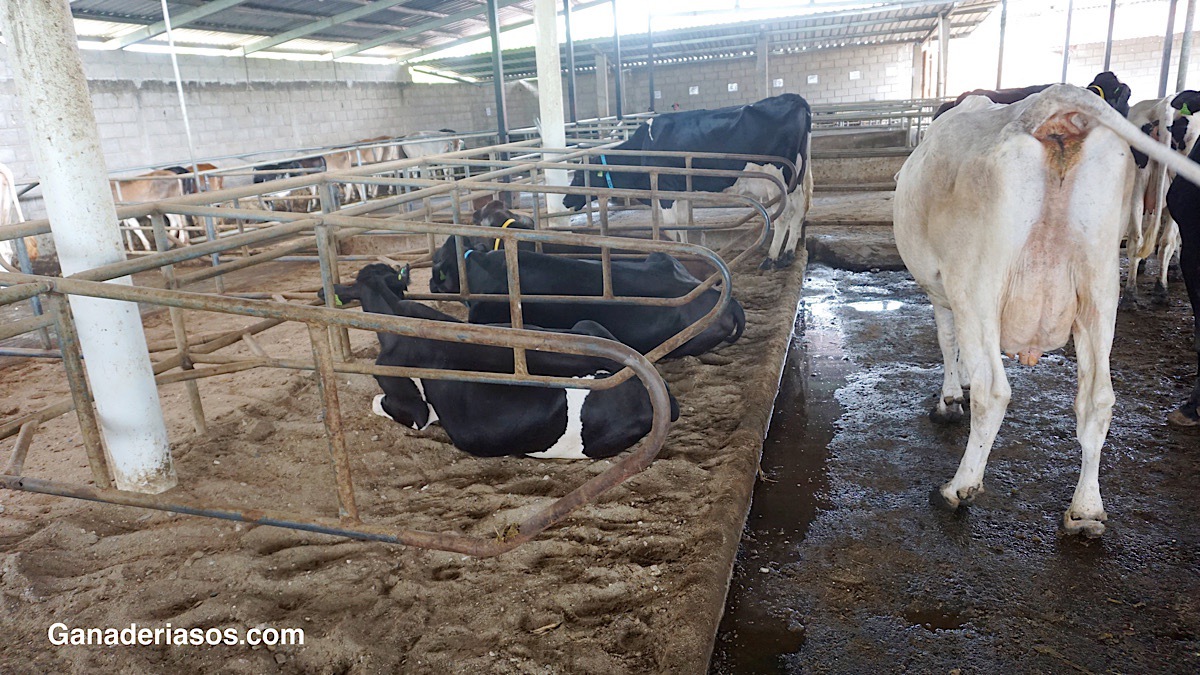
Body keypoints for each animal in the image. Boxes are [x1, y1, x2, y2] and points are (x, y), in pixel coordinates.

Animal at [892, 84, 1200, 535]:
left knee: (993, 391)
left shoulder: (941, 287)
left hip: (978, 283)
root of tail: (1056, 105)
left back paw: (958, 488)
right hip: (1098, 285)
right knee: (1098, 400)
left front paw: (949, 399)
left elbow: (948, 343)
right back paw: (1086, 510)